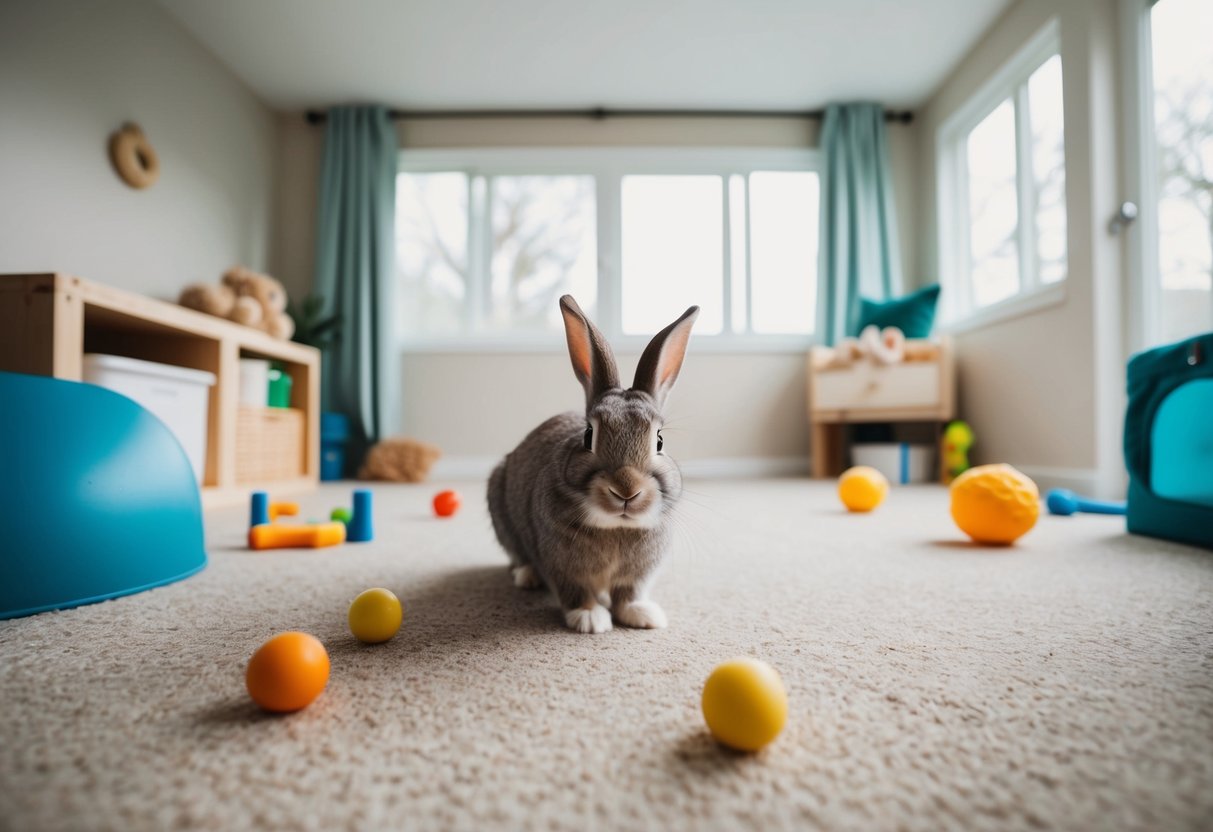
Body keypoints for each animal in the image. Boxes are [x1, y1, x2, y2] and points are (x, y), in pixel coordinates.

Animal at [487, 295, 699, 634]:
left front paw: (643, 615)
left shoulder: (637, 575)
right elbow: (575, 591)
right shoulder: (562, 567)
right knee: (516, 556)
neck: (615, 526)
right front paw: (589, 619)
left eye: (660, 441)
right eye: (589, 436)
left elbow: (629, 594)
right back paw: (527, 576)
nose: (626, 490)